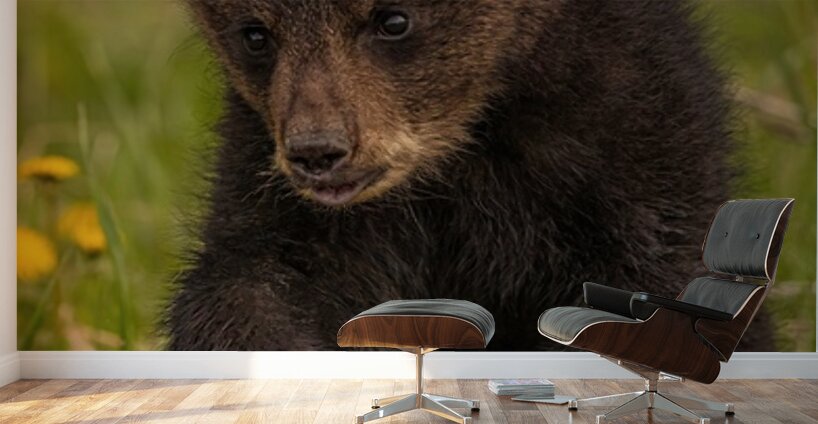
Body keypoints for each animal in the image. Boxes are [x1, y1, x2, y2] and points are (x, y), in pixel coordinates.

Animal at [167, 0, 772, 351]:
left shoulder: (630, 144)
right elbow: (252, 283)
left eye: (393, 19)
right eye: (254, 34)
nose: (318, 150)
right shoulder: (271, 175)